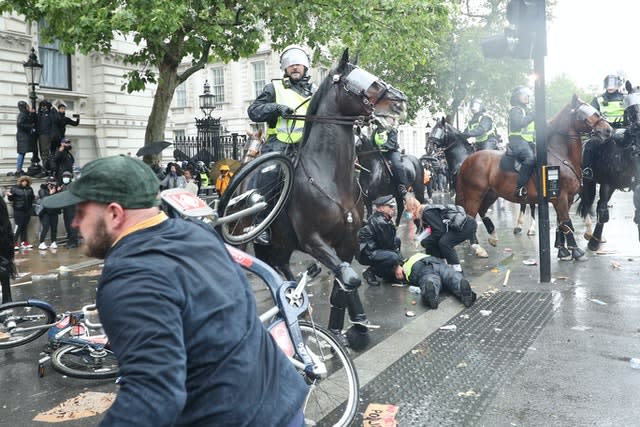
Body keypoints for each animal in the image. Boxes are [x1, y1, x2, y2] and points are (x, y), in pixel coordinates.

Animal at [252, 51, 408, 350]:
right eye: (364, 82)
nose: (400, 103)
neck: (329, 177)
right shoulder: (313, 241)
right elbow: (350, 278)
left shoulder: (347, 243)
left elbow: (343, 285)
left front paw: (349, 329)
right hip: (267, 244)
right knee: (272, 268)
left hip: (284, 245)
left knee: (283, 266)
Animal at [458, 95, 612, 260]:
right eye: (584, 114)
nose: (608, 130)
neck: (561, 155)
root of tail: (467, 160)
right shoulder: (561, 197)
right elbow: (566, 222)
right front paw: (575, 251)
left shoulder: (567, 198)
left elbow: (561, 223)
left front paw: (562, 250)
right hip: (474, 193)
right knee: (470, 216)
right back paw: (477, 247)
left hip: (491, 194)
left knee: (482, 211)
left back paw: (493, 236)